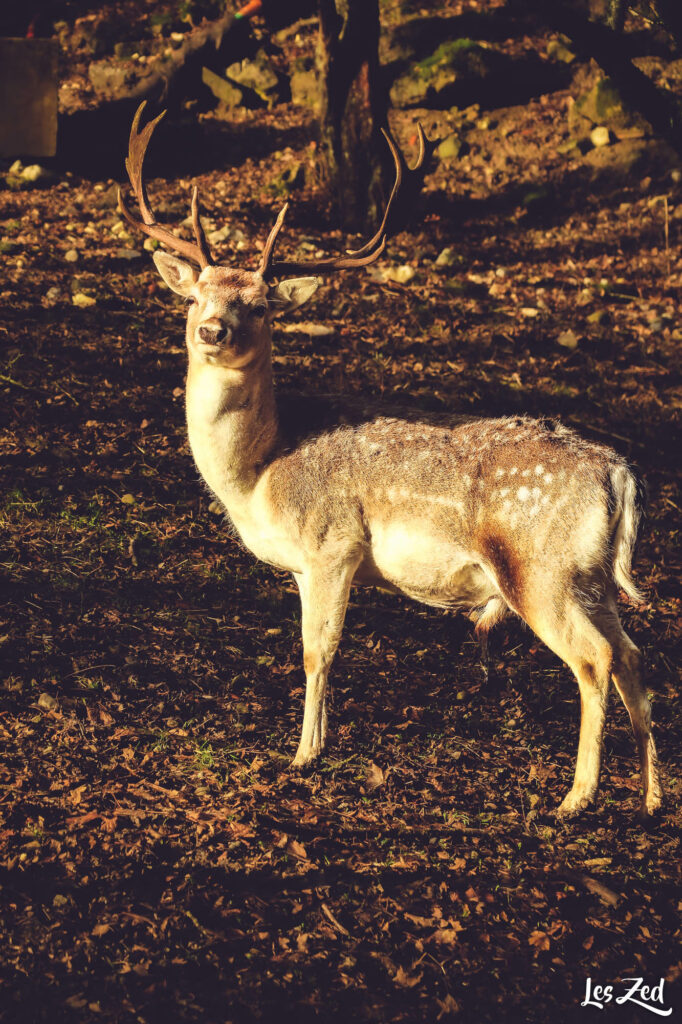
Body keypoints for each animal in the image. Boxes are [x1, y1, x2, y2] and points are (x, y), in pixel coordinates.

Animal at [119, 101, 659, 823]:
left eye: (258, 306)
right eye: (192, 297)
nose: (212, 331)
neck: (259, 475)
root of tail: (618, 474)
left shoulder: (333, 543)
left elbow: (318, 650)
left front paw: (303, 756)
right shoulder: (306, 565)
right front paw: (314, 746)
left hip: (540, 569)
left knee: (595, 659)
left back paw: (575, 798)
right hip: (591, 576)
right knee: (631, 653)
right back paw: (652, 795)